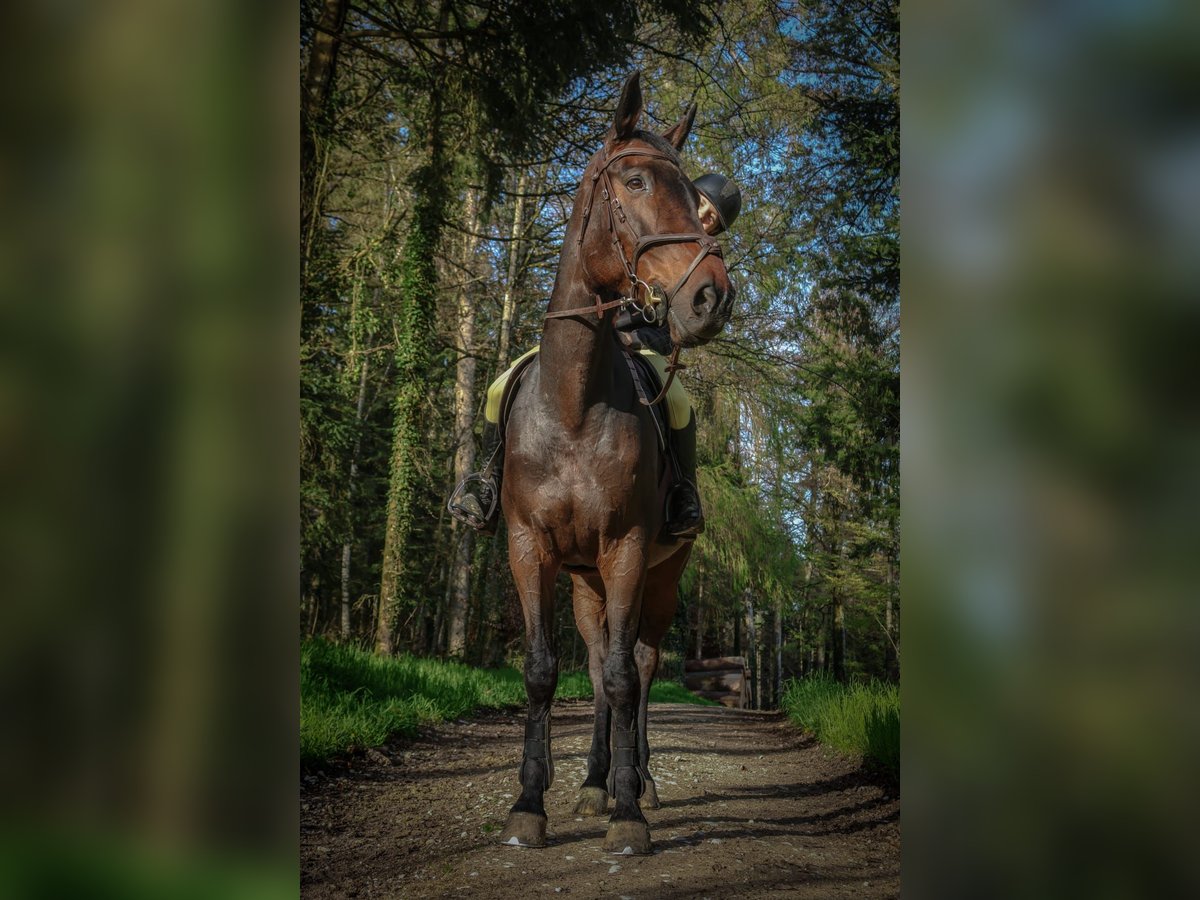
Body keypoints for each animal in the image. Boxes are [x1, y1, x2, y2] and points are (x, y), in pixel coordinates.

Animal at [496, 74, 729, 854]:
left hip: (659, 576)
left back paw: (640, 781)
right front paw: (530, 804)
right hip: (585, 583)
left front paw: (629, 813)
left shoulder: (628, 551)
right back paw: (595, 782)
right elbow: (547, 673)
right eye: (634, 181)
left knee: (643, 665)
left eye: (696, 198)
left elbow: (630, 678)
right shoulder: (529, 549)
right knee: (599, 665)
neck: (573, 406)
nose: (712, 296)